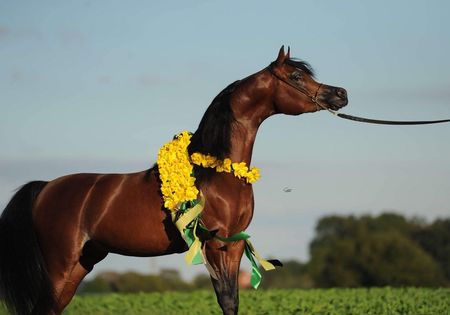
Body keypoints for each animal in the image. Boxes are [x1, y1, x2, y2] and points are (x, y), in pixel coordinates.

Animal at [0, 47, 348, 315]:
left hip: (81, 265)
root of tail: (45, 187)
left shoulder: (235, 244)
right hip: (59, 266)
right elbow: (225, 300)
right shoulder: (215, 243)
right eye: (296, 77)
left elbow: (232, 302)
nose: (340, 94)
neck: (217, 172)